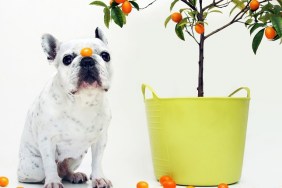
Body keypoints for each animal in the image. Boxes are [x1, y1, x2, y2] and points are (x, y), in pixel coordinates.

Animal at [17, 27, 112, 188]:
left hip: (76, 158)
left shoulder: (101, 139)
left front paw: (99, 178)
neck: (83, 100)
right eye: (67, 59)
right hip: (35, 168)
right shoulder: (47, 140)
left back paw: (74, 175)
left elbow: (97, 161)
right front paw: (52, 182)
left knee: (65, 169)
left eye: (105, 55)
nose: (87, 60)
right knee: (43, 172)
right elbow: (49, 163)